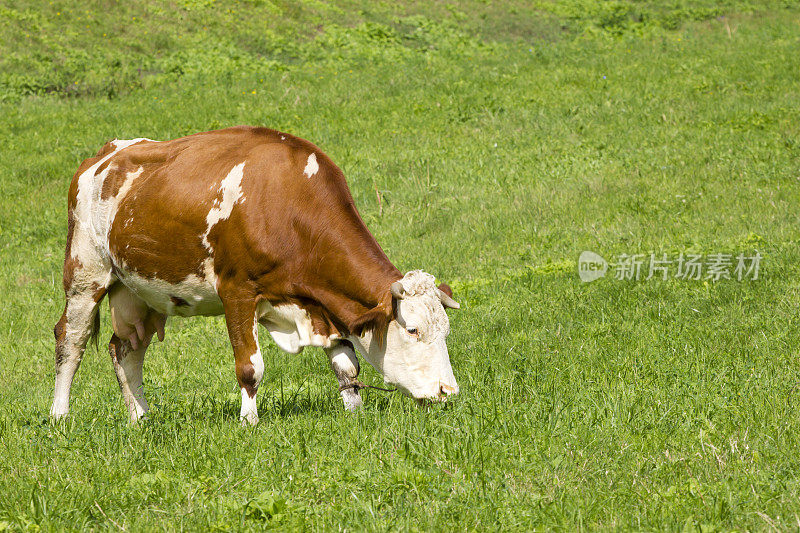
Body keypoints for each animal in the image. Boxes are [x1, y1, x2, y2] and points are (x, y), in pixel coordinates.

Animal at [50, 124, 460, 424]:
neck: (287, 203)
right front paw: (249, 422)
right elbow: (250, 367)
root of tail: (104, 154)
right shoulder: (237, 291)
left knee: (125, 350)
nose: (448, 391)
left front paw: (354, 413)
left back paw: (141, 419)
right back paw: (60, 416)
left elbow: (347, 365)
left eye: (445, 330)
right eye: (412, 329)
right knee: (70, 340)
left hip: (141, 290)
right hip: (85, 273)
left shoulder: (319, 304)